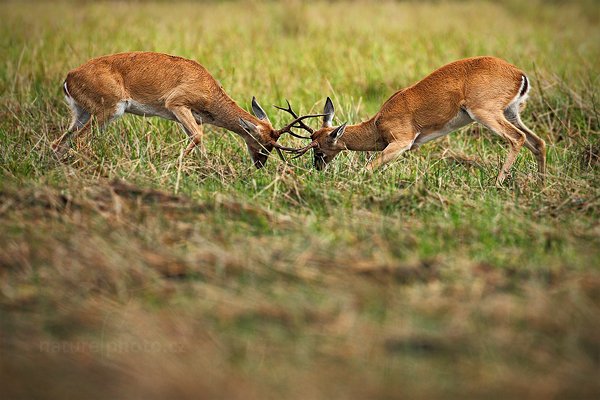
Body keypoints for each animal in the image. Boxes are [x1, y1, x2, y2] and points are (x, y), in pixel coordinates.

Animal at [51, 51, 324, 167]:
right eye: (264, 144)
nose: (260, 165)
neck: (208, 87)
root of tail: (70, 77)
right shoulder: (176, 105)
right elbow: (199, 136)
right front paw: (175, 163)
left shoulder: (189, 117)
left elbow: (199, 141)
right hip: (108, 112)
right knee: (81, 140)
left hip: (82, 114)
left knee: (60, 142)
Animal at [288, 56, 548, 186]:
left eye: (319, 151)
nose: (318, 169)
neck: (377, 123)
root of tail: (518, 74)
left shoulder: (401, 143)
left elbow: (368, 168)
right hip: (511, 113)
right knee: (538, 142)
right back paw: (540, 185)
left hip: (485, 113)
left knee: (517, 138)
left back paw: (497, 184)